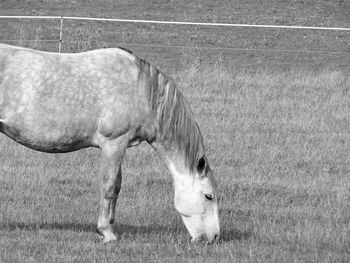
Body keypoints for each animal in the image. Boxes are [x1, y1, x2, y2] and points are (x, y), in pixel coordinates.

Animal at [0, 43, 219, 243]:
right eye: (209, 196)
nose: (214, 237)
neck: (141, 89)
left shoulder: (120, 146)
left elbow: (117, 186)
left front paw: (111, 225)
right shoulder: (113, 144)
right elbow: (108, 185)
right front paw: (106, 232)